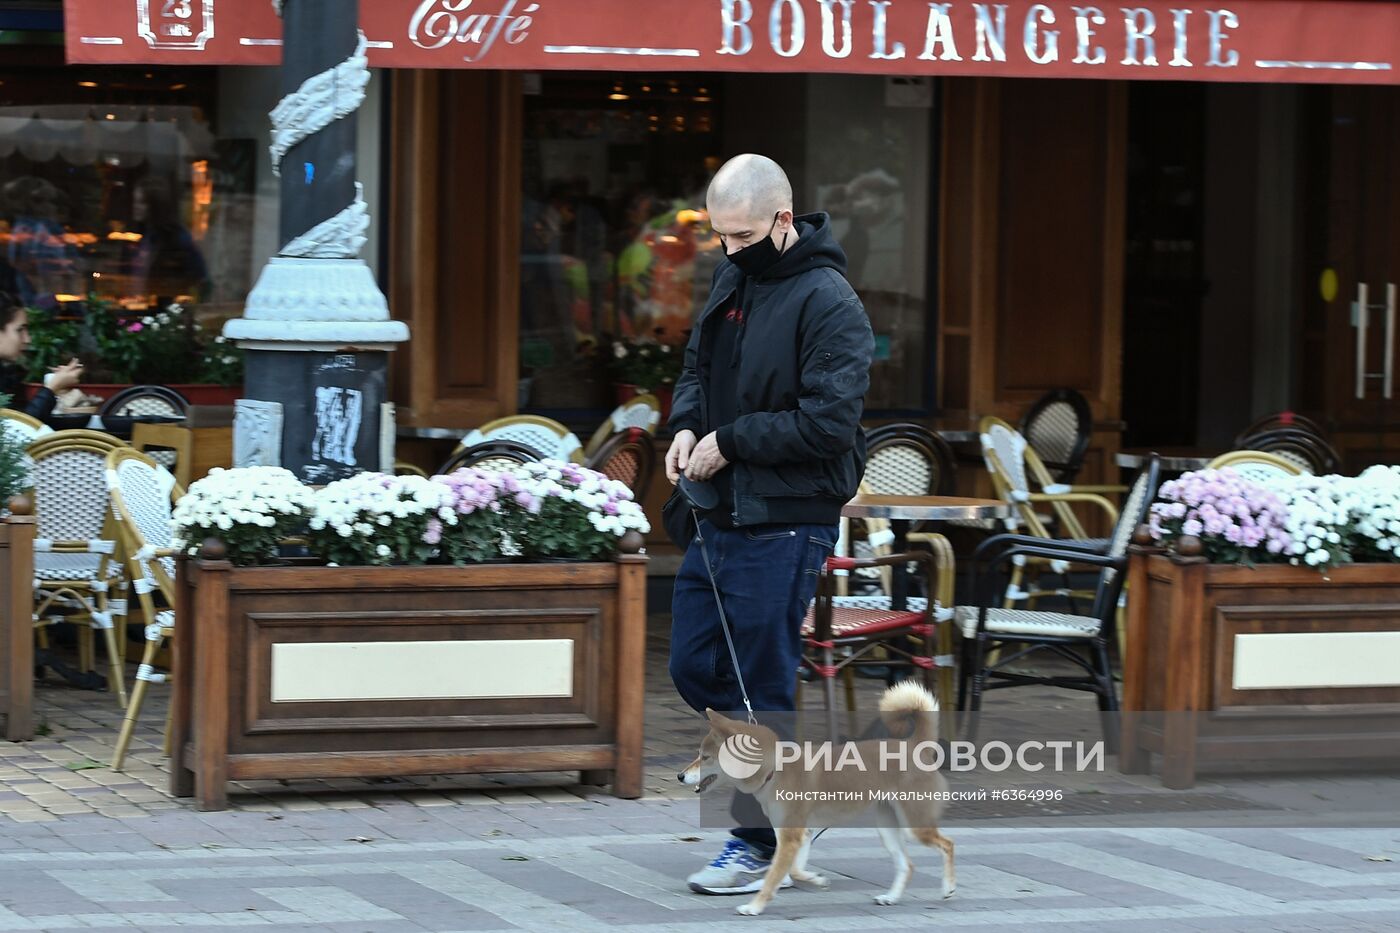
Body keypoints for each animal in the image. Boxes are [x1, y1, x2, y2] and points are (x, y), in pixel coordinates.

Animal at [674, 680, 957, 913]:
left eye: (705, 757)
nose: (679, 776)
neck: (775, 770)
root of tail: (915, 746)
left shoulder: (790, 837)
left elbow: (774, 876)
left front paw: (754, 906)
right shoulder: (800, 834)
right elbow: (795, 870)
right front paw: (816, 879)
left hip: (914, 825)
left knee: (947, 844)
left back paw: (947, 887)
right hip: (887, 827)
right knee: (907, 865)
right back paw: (891, 897)